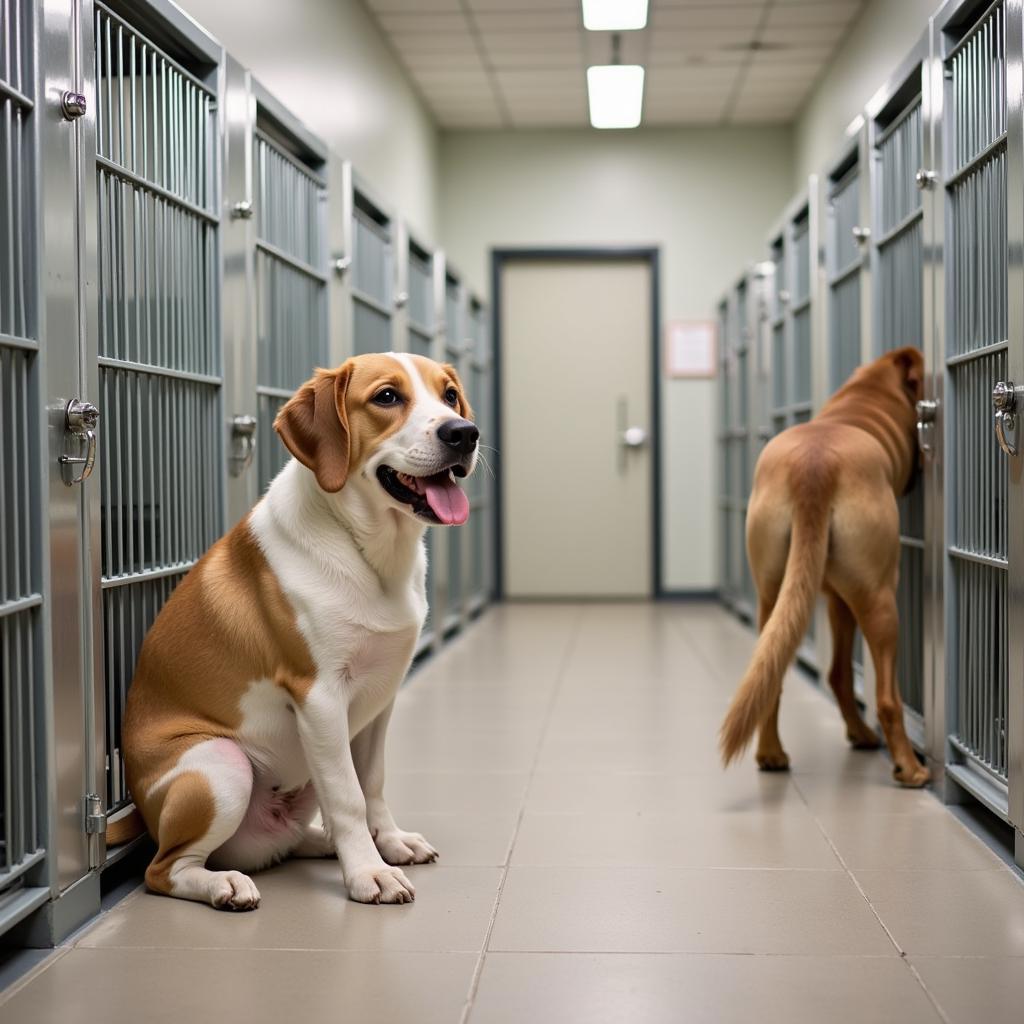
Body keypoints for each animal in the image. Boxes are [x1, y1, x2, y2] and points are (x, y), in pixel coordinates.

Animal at [110, 356, 477, 909]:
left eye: (450, 395)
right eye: (387, 397)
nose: (464, 434)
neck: (370, 555)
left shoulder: (380, 698)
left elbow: (371, 783)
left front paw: (388, 843)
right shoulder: (320, 697)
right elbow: (348, 797)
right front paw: (369, 874)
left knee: (283, 843)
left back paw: (320, 843)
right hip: (223, 765)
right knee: (165, 870)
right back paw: (224, 884)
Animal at [720, 348, 929, 786]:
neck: (859, 404)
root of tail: (812, 469)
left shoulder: (836, 600)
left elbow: (839, 673)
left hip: (773, 595)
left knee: (775, 675)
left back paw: (773, 753)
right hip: (880, 600)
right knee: (887, 698)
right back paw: (909, 767)